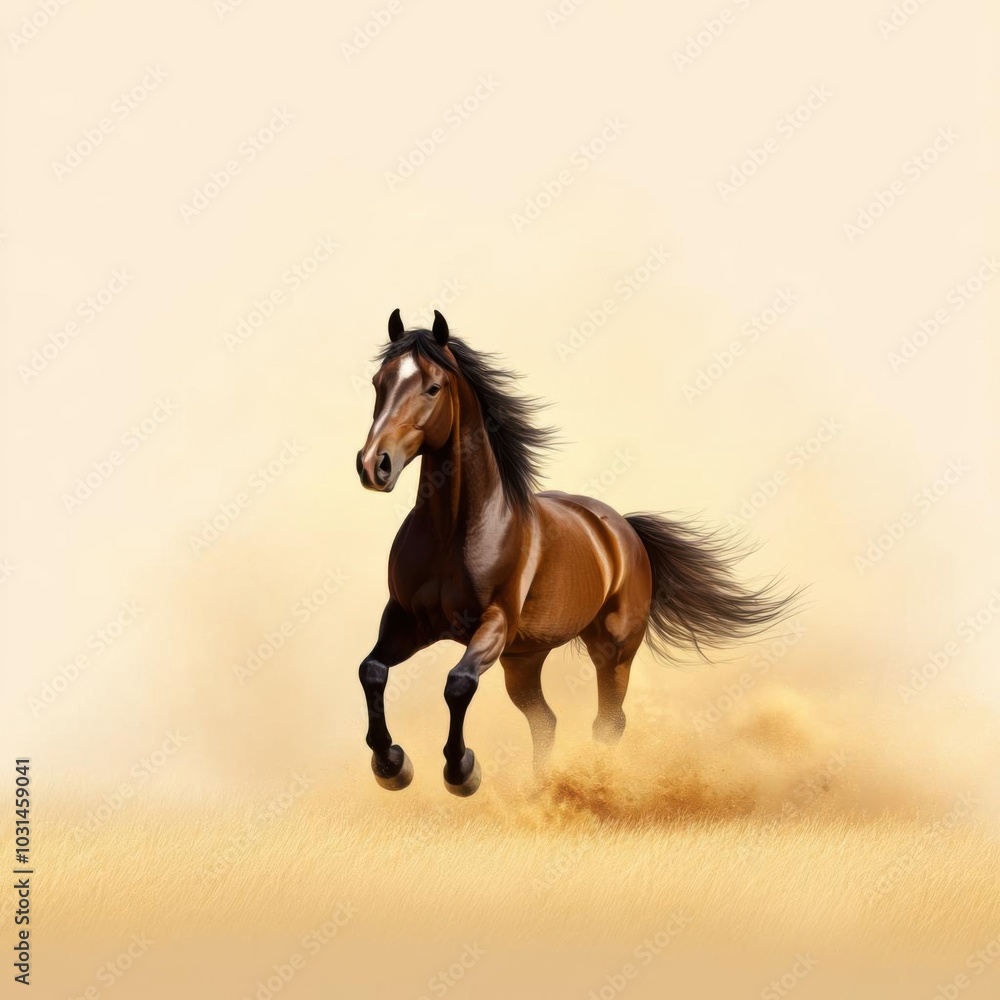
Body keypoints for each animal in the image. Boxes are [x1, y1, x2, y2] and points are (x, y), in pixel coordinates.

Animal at [356, 308, 794, 796]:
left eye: (433, 387)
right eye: (378, 382)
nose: (374, 465)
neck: (452, 530)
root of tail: (623, 529)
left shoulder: (494, 622)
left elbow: (458, 683)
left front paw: (462, 771)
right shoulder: (406, 619)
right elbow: (371, 670)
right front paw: (391, 764)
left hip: (612, 651)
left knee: (608, 722)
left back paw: (596, 787)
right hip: (523, 659)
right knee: (545, 720)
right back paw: (540, 790)